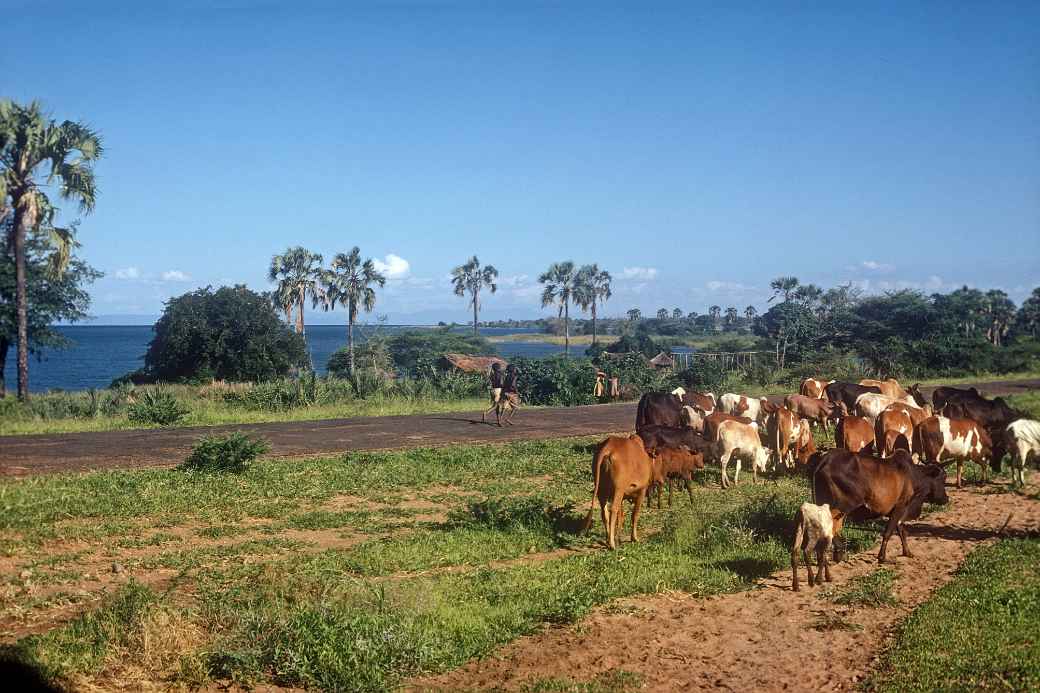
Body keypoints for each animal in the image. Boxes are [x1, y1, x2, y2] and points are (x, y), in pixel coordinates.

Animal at [811, 447, 952, 561]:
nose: (946, 499)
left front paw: (907, 553)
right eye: (943, 477)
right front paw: (882, 557)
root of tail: (825, 460)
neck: (914, 476)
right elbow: (888, 532)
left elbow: (902, 531)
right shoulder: (901, 506)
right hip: (840, 507)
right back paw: (838, 552)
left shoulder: (900, 510)